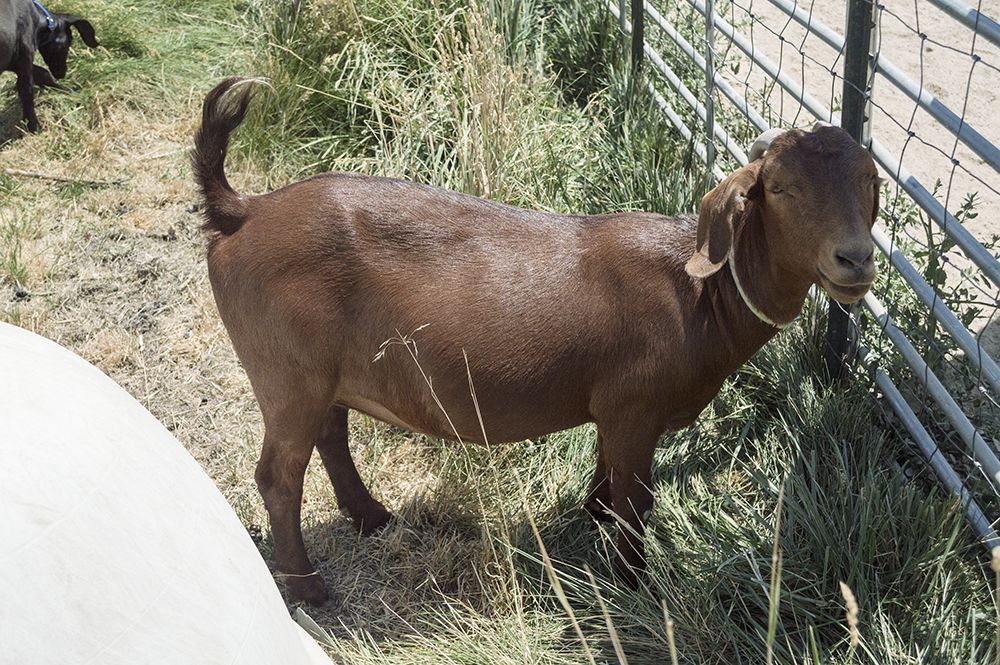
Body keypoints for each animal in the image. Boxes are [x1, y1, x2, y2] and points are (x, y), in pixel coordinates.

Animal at [0, 0, 96, 132]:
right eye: (69, 41)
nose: (61, 73)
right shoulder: (24, 56)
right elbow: (26, 89)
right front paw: (34, 126)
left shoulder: (13, 60)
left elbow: (42, 73)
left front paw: (69, 91)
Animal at [193, 78, 879, 605]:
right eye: (779, 187)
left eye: (871, 184)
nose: (854, 259)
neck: (696, 292)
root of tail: (244, 211)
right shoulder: (635, 408)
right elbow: (636, 503)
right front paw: (633, 583)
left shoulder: (615, 410)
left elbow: (609, 481)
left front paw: (592, 515)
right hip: (286, 371)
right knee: (279, 475)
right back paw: (308, 588)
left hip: (325, 370)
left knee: (331, 436)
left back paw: (371, 518)